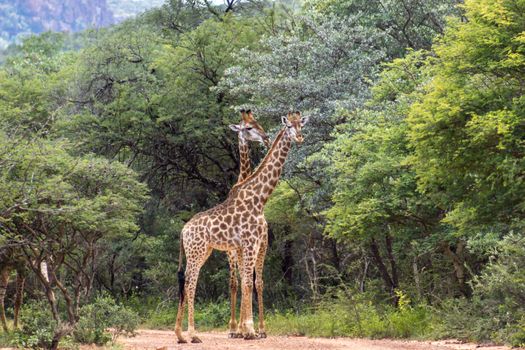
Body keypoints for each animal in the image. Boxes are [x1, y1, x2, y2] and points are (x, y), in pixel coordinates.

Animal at [176, 111, 308, 342]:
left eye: (301, 124)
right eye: (289, 126)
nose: (299, 137)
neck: (260, 198)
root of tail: (184, 231)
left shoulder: (251, 244)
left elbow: (251, 281)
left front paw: (248, 330)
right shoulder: (248, 243)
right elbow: (246, 282)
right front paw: (249, 330)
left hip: (203, 251)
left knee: (188, 282)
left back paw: (181, 335)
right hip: (197, 252)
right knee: (191, 283)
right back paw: (192, 334)